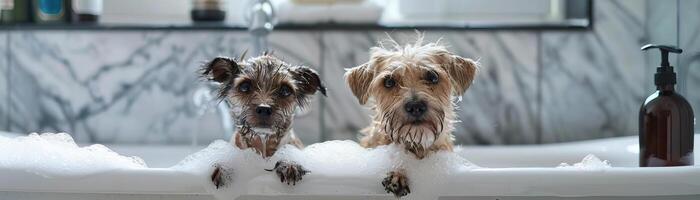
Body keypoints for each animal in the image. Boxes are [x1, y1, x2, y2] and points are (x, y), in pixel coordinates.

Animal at [200, 52, 326, 188]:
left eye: (285, 90)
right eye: (244, 86)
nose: (264, 109)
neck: (263, 145)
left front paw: (289, 163)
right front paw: (225, 168)